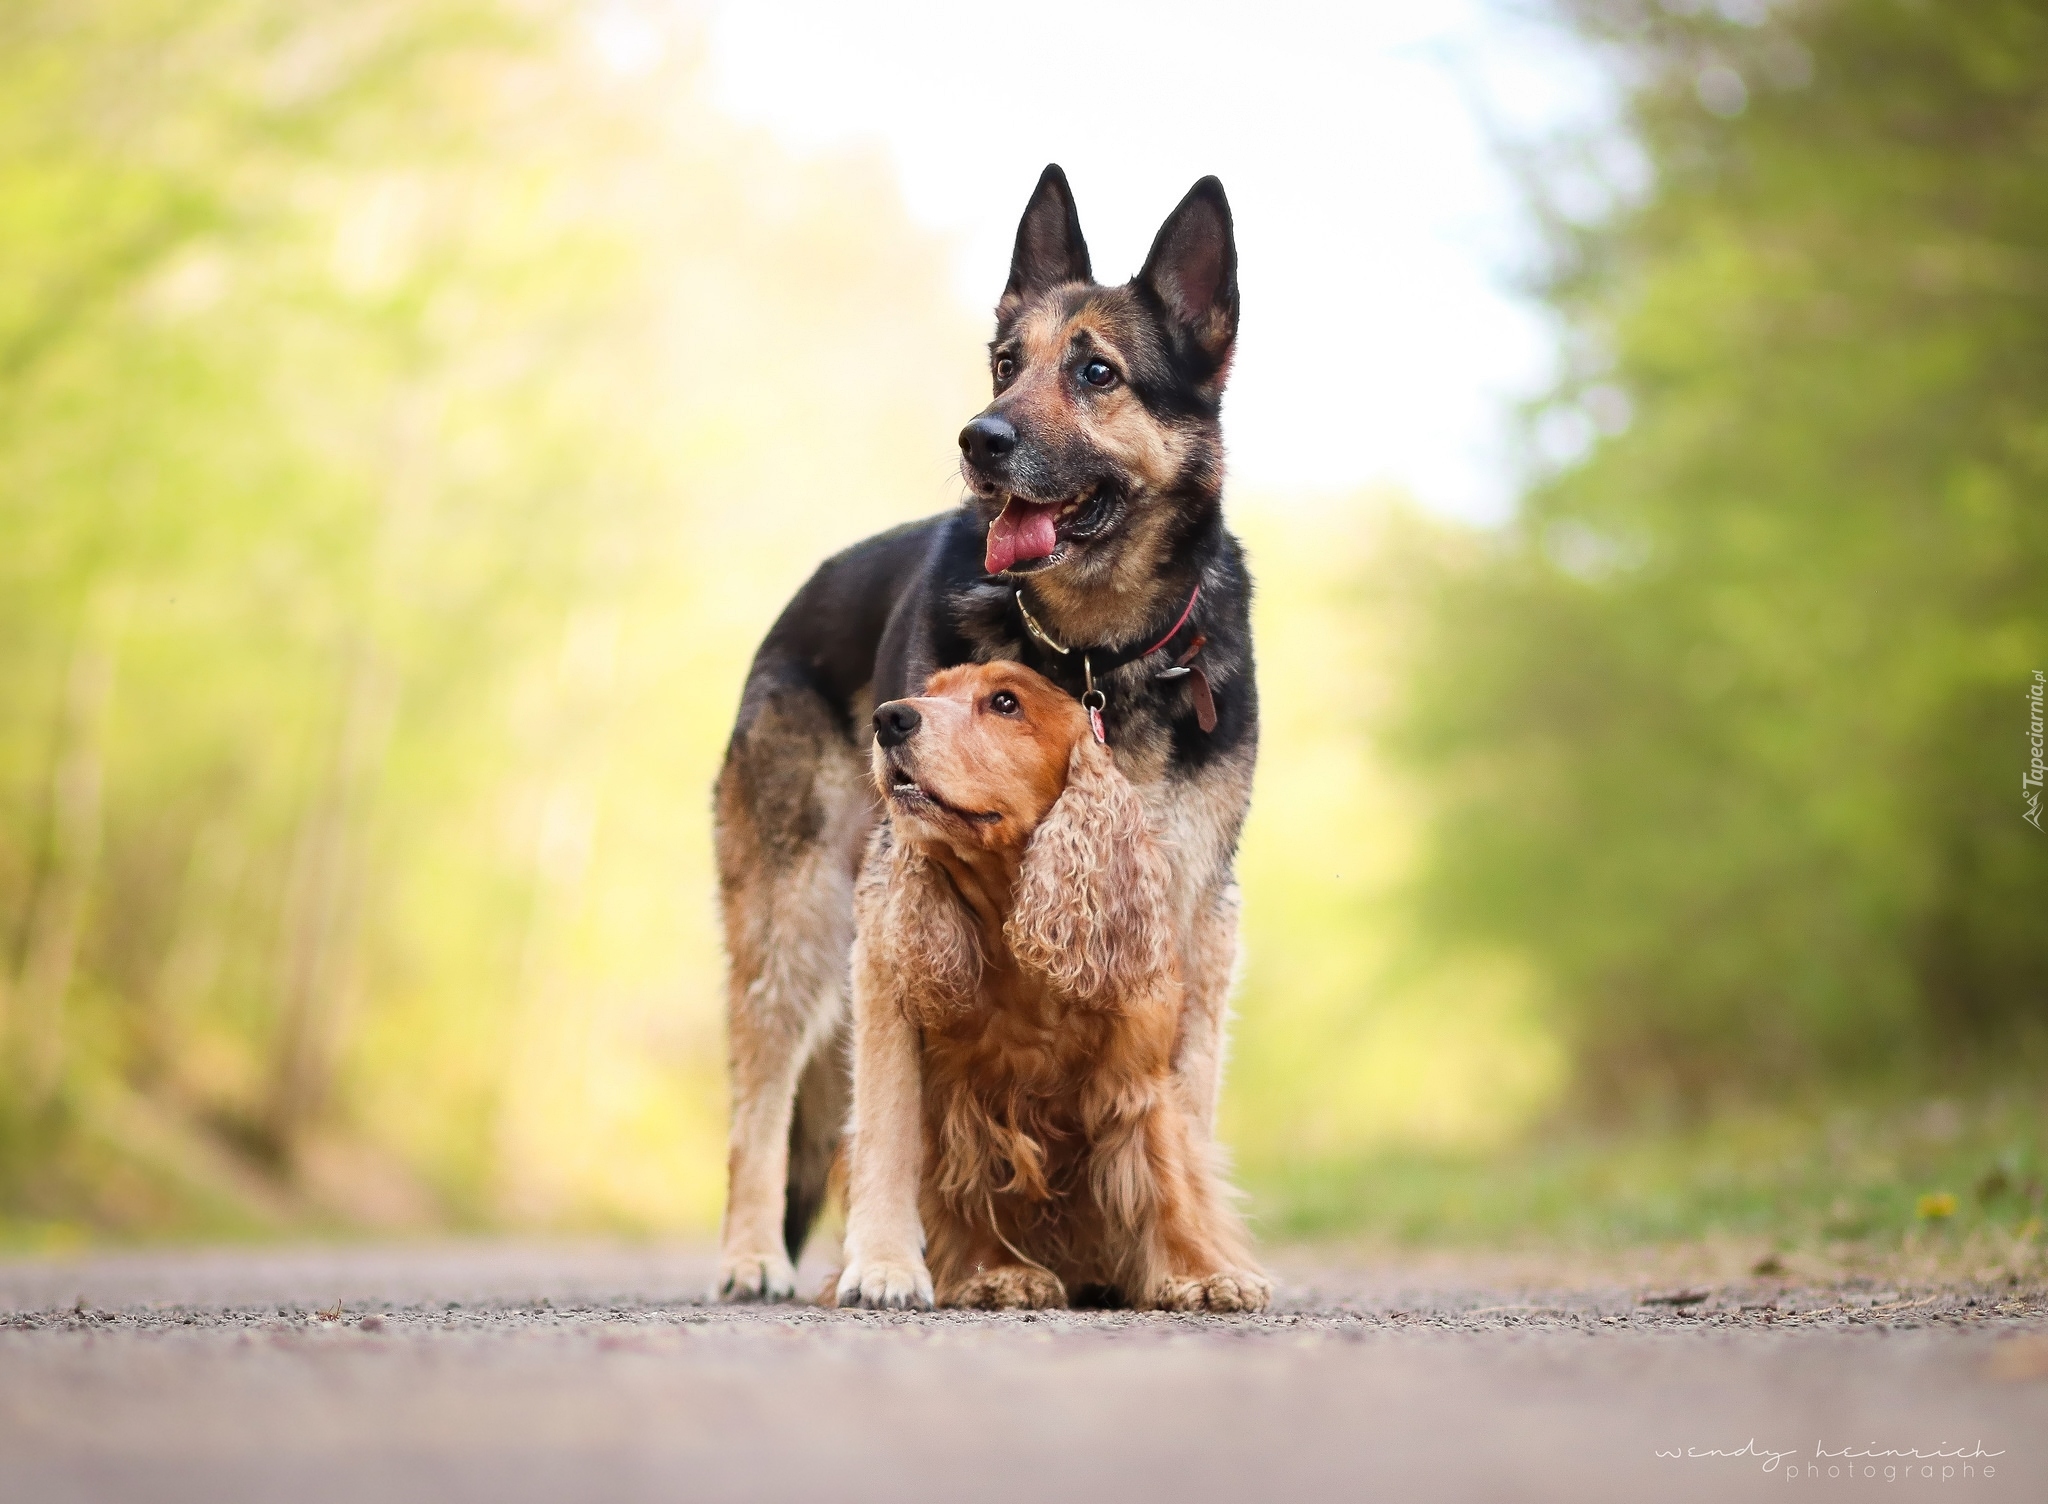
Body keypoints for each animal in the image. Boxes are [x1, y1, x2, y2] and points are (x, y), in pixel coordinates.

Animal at [720, 158, 1261, 1303]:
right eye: (1005, 365)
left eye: (1097, 372)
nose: (980, 439)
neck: (1094, 651)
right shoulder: (894, 911)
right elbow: (886, 1118)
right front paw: (887, 1262)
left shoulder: (1190, 912)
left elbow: (1178, 1114)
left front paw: (1189, 1261)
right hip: (796, 924)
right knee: (759, 1101)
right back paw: (752, 1256)